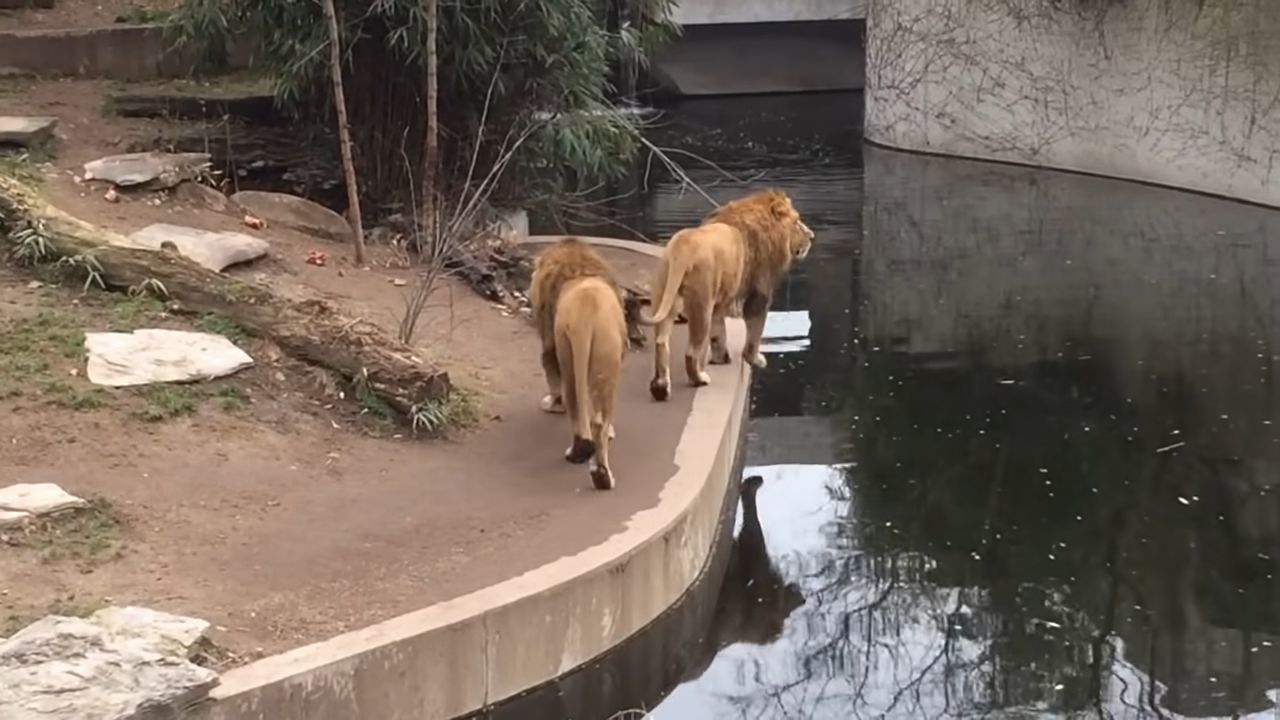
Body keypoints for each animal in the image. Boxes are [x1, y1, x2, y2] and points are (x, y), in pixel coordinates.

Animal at [527, 235, 627, 486]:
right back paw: (601, 475)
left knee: (579, 412)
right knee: (598, 420)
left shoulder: (548, 338)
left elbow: (549, 369)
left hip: (569, 352)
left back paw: (582, 458)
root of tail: (586, 312)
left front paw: (552, 404)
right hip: (605, 357)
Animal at [637, 185, 808, 397]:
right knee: (691, 352)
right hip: (701, 304)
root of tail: (682, 248)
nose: (812, 236)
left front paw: (720, 358)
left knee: (661, 342)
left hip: (666, 296)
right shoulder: (759, 291)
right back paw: (699, 379)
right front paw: (754, 358)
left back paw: (660, 387)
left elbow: (718, 332)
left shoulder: (720, 302)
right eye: (797, 222)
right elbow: (755, 330)